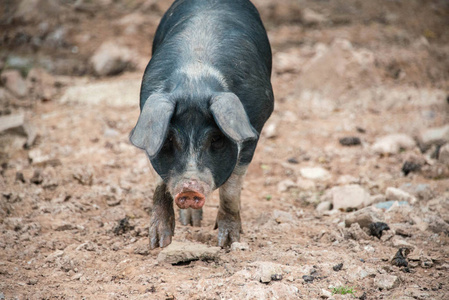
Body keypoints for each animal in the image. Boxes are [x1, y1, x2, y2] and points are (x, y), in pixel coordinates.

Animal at [129, 0, 272, 248]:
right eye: (169, 138)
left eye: (216, 138)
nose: (189, 189)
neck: (195, 81)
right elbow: (159, 184)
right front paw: (158, 243)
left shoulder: (254, 126)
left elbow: (232, 188)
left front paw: (227, 243)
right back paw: (190, 223)